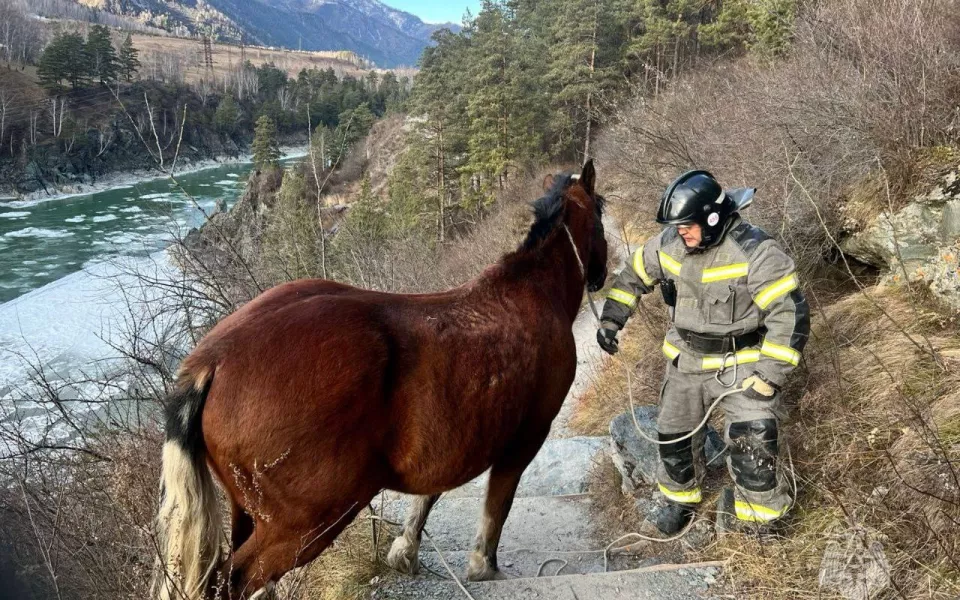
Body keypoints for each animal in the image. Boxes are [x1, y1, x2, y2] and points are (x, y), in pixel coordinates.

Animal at [155, 161, 612, 600]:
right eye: (602, 213)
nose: (602, 273)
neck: (529, 292)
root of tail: (214, 361)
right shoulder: (527, 437)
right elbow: (497, 505)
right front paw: (483, 565)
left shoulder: (454, 439)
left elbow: (430, 492)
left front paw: (405, 549)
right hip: (306, 523)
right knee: (235, 579)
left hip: (248, 512)